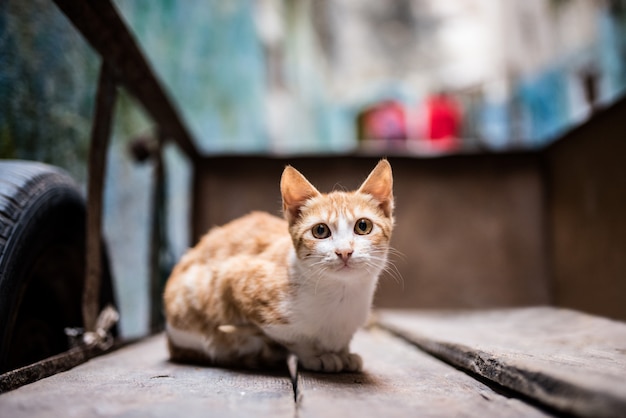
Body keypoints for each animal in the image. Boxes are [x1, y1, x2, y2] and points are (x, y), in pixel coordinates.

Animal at [163, 159, 392, 372]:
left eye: (363, 226)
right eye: (320, 231)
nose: (344, 251)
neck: (342, 297)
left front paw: (343, 352)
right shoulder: (232, 277)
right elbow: (294, 338)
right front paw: (317, 355)